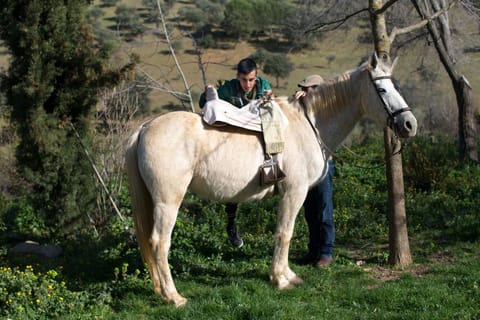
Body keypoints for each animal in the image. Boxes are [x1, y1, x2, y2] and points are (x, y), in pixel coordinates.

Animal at [124, 53, 416, 308]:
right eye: (382, 90)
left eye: (396, 85)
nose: (409, 124)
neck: (309, 124)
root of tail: (145, 128)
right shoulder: (294, 192)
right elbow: (285, 233)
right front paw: (280, 279)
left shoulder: (301, 193)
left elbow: (292, 229)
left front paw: (288, 274)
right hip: (167, 202)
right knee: (159, 242)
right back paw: (174, 297)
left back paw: (161, 290)